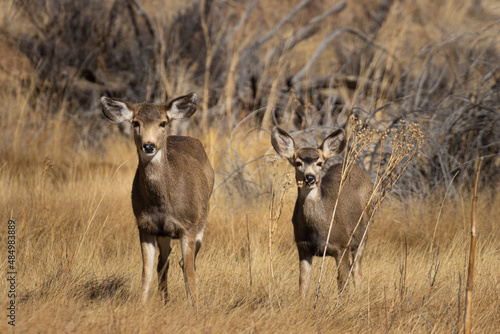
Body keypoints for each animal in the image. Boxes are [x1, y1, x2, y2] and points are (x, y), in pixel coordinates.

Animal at [99, 92, 213, 306]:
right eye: (135, 122)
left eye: (163, 122)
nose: (149, 145)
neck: (163, 202)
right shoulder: (146, 226)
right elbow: (147, 272)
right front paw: (142, 306)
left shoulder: (188, 226)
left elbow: (189, 271)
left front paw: (194, 307)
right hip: (164, 234)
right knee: (163, 263)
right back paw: (164, 300)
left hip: (201, 220)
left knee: (185, 263)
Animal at [272, 126, 374, 296]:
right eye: (298, 163)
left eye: (319, 163)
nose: (310, 177)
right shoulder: (303, 247)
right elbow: (303, 285)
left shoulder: (342, 245)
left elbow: (343, 286)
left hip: (363, 235)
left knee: (357, 271)